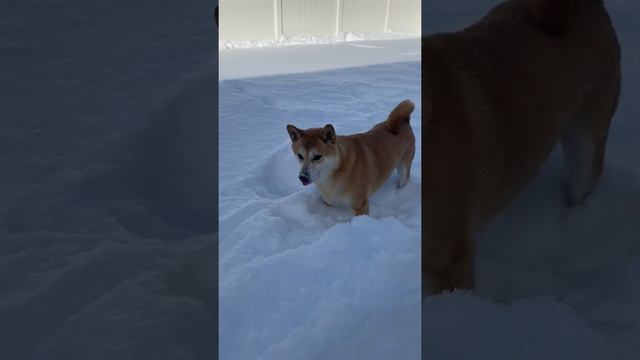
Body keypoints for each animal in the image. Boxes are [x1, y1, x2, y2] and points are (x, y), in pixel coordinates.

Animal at [288, 100, 418, 215]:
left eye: (317, 157)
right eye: (300, 156)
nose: (302, 177)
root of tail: (403, 121)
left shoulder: (360, 205)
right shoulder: (328, 203)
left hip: (404, 167)